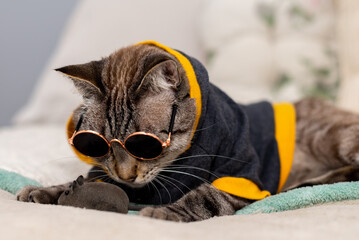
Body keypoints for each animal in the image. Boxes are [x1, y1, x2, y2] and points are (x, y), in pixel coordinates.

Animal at [17, 40, 359, 221]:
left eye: (145, 145)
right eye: (98, 146)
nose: (126, 175)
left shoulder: (240, 176)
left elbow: (203, 197)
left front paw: (163, 213)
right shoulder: (114, 176)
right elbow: (82, 182)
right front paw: (46, 190)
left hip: (333, 138)